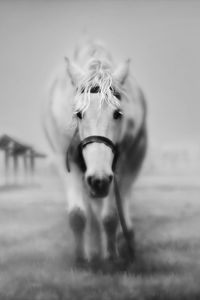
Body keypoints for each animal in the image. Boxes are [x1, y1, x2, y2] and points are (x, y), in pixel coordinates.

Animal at [43, 39, 147, 268]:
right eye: (78, 114)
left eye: (118, 114)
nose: (99, 180)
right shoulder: (66, 162)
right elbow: (78, 215)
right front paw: (82, 259)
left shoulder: (121, 165)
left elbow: (111, 216)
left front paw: (111, 257)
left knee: (122, 202)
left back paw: (127, 242)